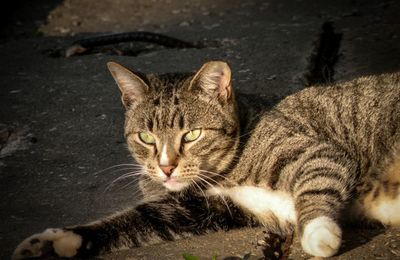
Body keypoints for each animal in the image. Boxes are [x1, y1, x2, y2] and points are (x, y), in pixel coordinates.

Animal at [12, 60, 400, 258]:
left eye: (192, 134)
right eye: (147, 137)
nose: (166, 167)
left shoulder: (315, 152)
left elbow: (316, 185)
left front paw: (318, 233)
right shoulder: (206, 207)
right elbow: (139, 219)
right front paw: (57, 242)